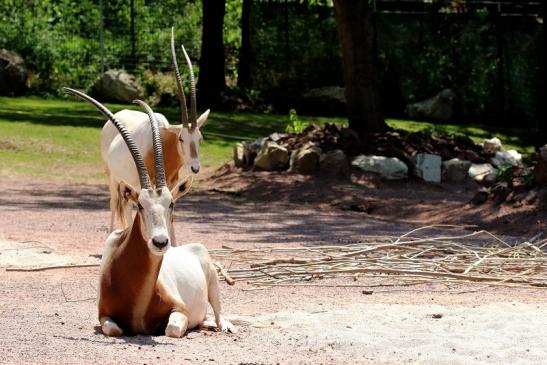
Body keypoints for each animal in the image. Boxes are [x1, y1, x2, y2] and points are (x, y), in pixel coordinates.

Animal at [64, 87, 235, 336]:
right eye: (141, 205)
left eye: (171, 204)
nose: (161, 242)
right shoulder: (103, 315)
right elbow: (114, 329)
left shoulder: (180, 310)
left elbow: (171, 329)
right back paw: (206, 324)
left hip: (212, 280)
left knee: (218, 312)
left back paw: (223, 325)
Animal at [100, 27, 210, 230]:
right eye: (181, 138)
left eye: (200, 138)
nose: (195, 168)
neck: (164, 143)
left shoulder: (170, 184)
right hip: (113, 177)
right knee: (115, 205)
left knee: (126, 207)